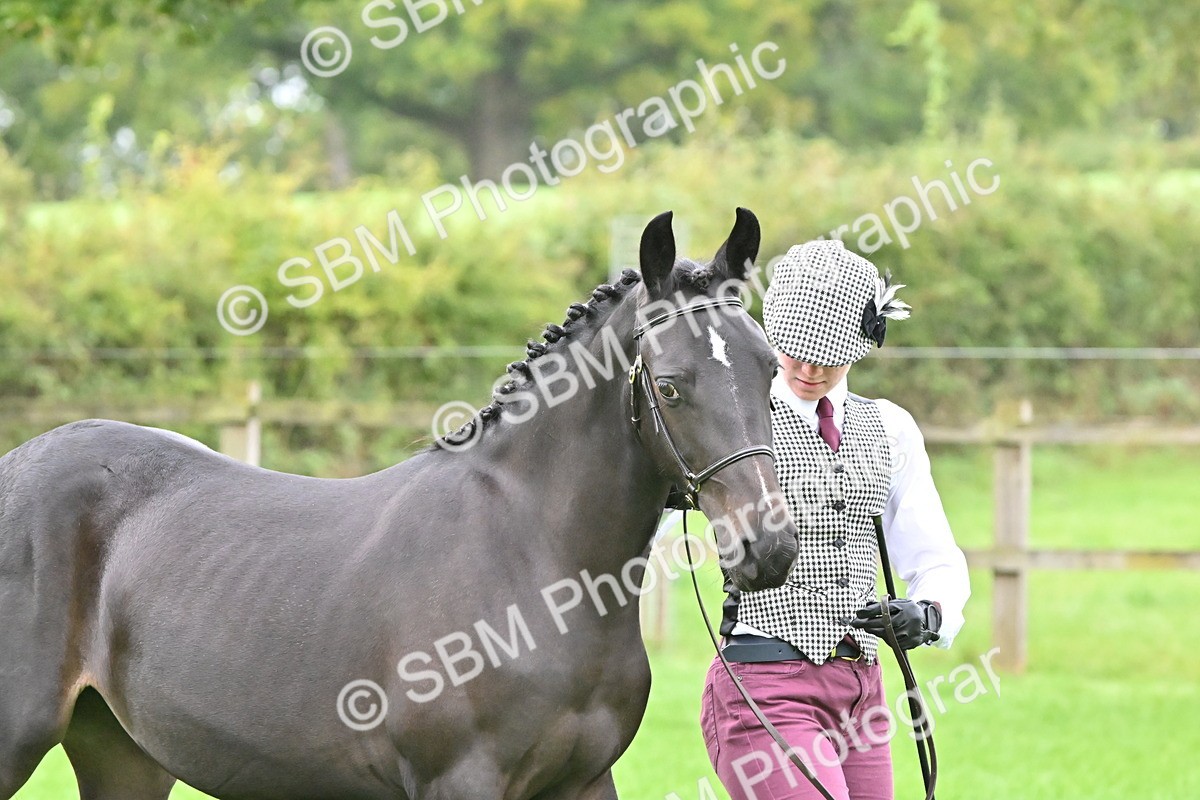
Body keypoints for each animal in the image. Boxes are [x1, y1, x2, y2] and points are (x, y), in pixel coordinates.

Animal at [0, 208, 799, 800]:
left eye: (769, 369)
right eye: (670, 385)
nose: (768, 547)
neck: (533, 560)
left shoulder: (583, 783)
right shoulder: (460, 782)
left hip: (121, 754)